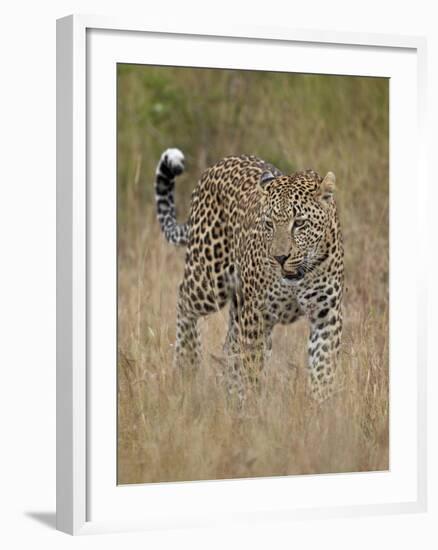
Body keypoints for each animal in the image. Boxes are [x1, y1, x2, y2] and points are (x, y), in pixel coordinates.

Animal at [152, 149, 344, 404]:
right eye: (269, 224)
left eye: (300, 223)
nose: (280, 257)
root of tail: (217, 165)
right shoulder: (256, 316)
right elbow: (251, 367)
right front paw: (252, 407)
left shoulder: (326, 315)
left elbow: (323, 368)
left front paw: (322, 408)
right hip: (209, 280)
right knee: (184, 300)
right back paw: (187, 363)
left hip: (238, 303)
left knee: (230, 347)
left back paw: (229, 394)